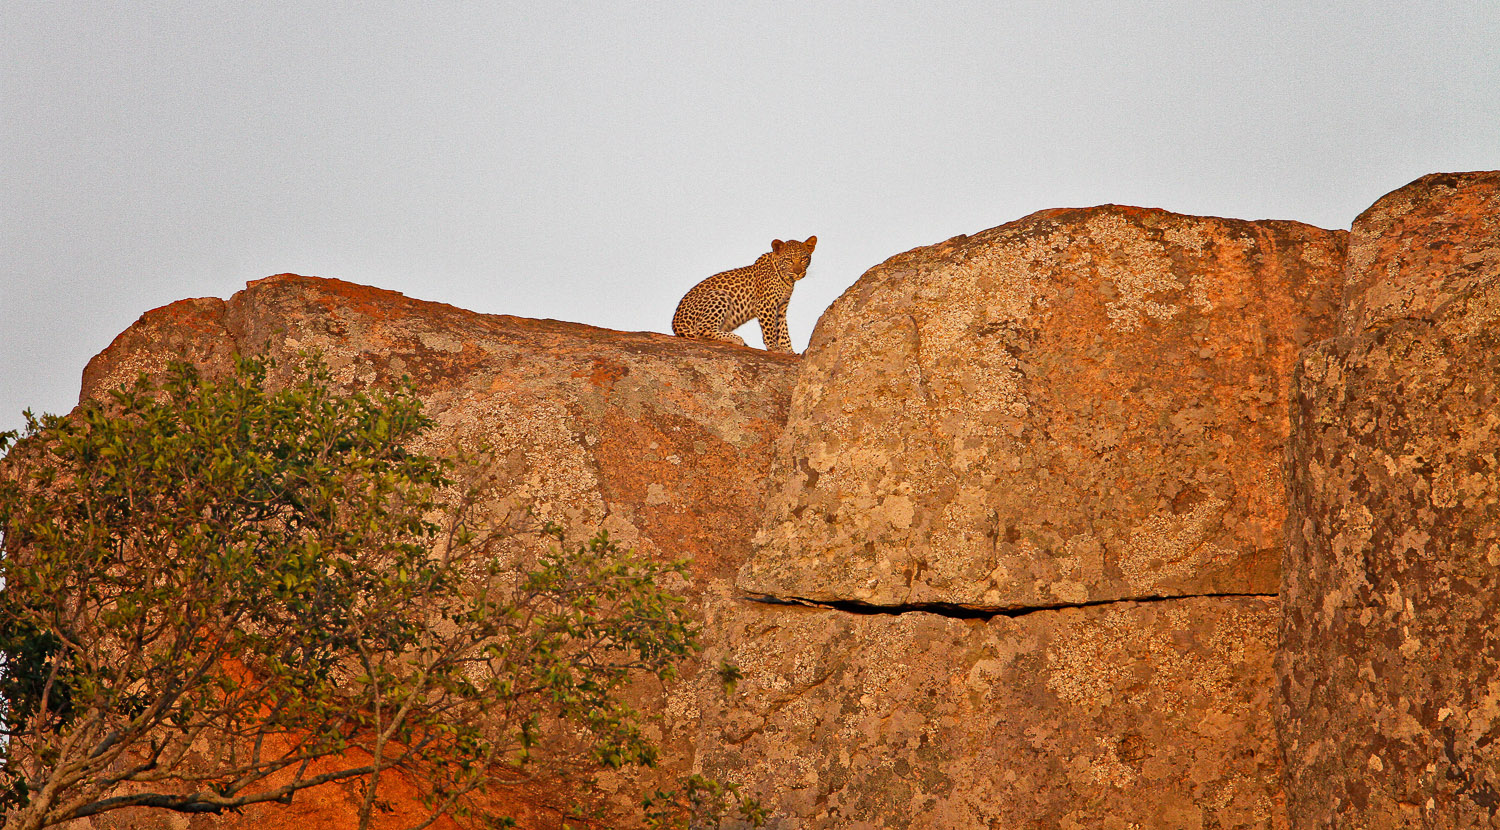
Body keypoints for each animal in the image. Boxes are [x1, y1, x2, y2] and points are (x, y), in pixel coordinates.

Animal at [671, 236, 817, 354]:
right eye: (789, 259)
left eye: (804, 258)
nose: (798, 272)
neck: (787, 280)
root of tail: (676, 324)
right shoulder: (765, 304)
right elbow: (770, 329)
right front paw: (773, 347)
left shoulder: (781, 307)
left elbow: (783, 330)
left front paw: (790, 351)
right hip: (719, 296)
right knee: (702, 330)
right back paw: (736, 338)